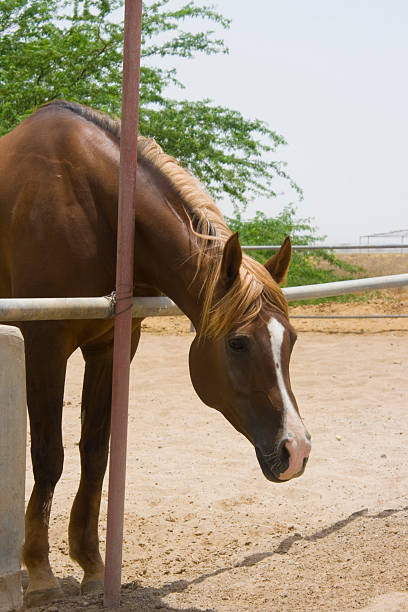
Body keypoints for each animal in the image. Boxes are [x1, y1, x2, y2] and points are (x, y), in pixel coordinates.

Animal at [0, 101, 310, 608]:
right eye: (238, 342)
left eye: (292, 341)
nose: (296, 450)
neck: (91, 202)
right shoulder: (45, 343)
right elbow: (49, 455)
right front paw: (41, 574)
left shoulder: (112, 345)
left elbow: (96, 452)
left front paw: (92, 565)